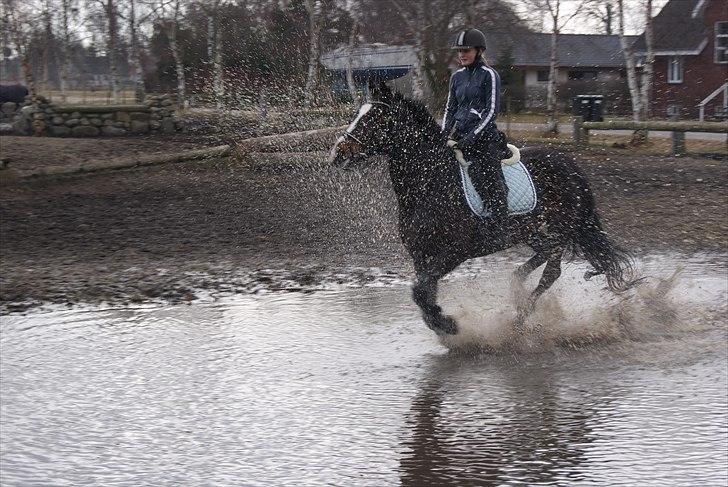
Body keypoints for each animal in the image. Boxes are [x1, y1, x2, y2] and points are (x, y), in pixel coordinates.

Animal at [328, 80, 636, 338]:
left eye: (375, 119)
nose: (337, 154)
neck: (432, 182)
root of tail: (569, 164)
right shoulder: (421, 254)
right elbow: (424, 291)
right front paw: (440, 323)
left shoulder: (455, 252)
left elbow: (421, 290)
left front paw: (448, 326)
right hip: (534, 232)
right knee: (540, 259)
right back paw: (516, 290)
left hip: (559, 229)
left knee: (552, 271)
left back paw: (519, 319)